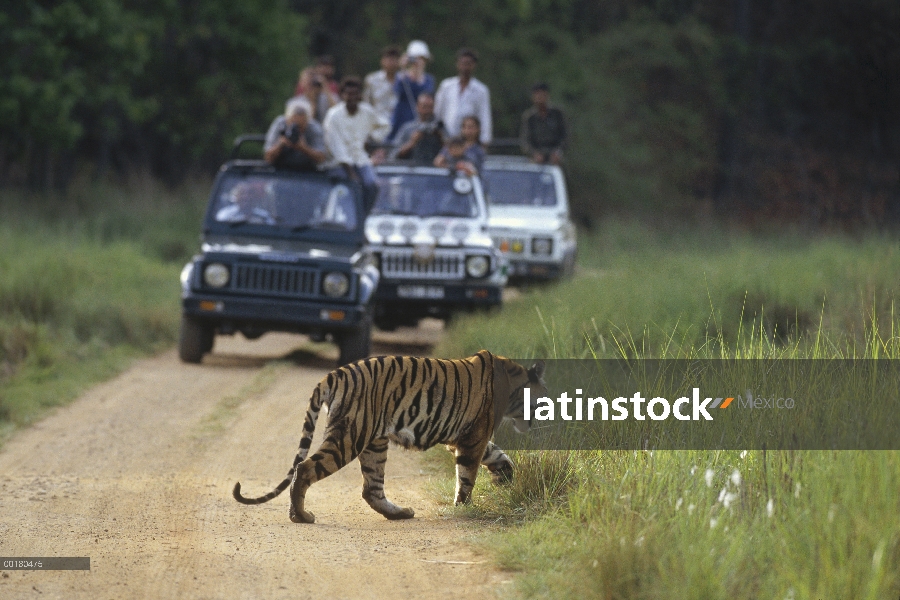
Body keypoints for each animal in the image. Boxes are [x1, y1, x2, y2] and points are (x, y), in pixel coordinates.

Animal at [232, 350, 544, 524]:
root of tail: (335, 374)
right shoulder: (473, 437)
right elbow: (467, 476)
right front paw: (464, 508)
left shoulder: (464, 437)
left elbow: (497, 454)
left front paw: (504, 477)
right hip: (350, 436)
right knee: (304, 468)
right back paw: (301, 517)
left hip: (374, 443)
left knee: (371, 489)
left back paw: (400, 513)